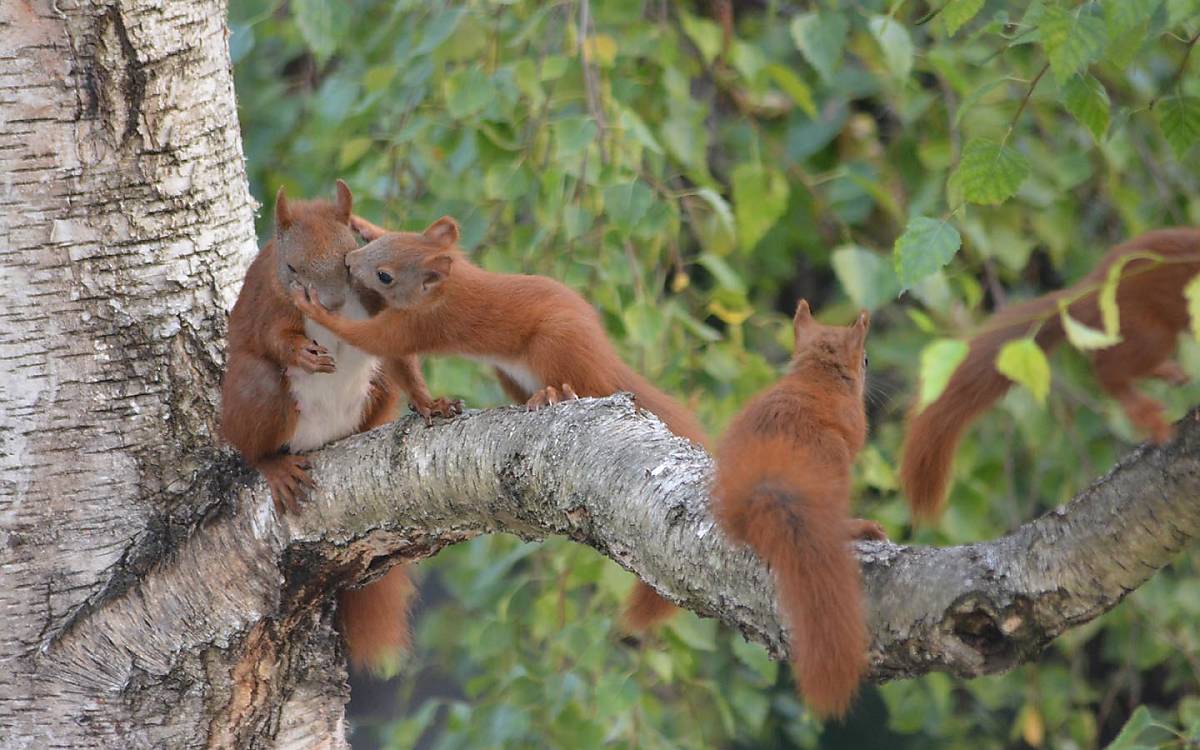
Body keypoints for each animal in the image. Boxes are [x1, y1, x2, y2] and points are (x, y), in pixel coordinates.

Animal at [220, 181, 453, 672]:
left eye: (348, 259)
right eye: (290, 267)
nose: (326, 304)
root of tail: (322, 439)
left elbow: (398, 349)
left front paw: (429, 404)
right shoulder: (269, 302)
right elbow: (273, 337)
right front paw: (301, 353)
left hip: (376, 390)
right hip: (257, 393)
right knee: (253, 444)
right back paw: (274, 466)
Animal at [286, 213, 705, 628]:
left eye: (385, 275)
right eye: (382, 243)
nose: (350, 262)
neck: (450, 285)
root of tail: (605, 358)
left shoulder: (421, 323)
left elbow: (371, 338)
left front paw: (312, 306)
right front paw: (363, 223)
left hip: (555, 345)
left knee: (587, 387)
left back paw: (554, 394)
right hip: (510, 375)